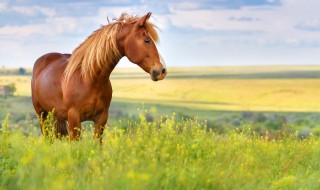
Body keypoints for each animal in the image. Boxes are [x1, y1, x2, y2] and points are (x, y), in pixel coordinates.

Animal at [31, 12, 168, 142]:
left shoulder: (101, 119)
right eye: (147, 40)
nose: (162, 70)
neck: (89, 80)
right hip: (42, 115)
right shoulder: (74, 119)